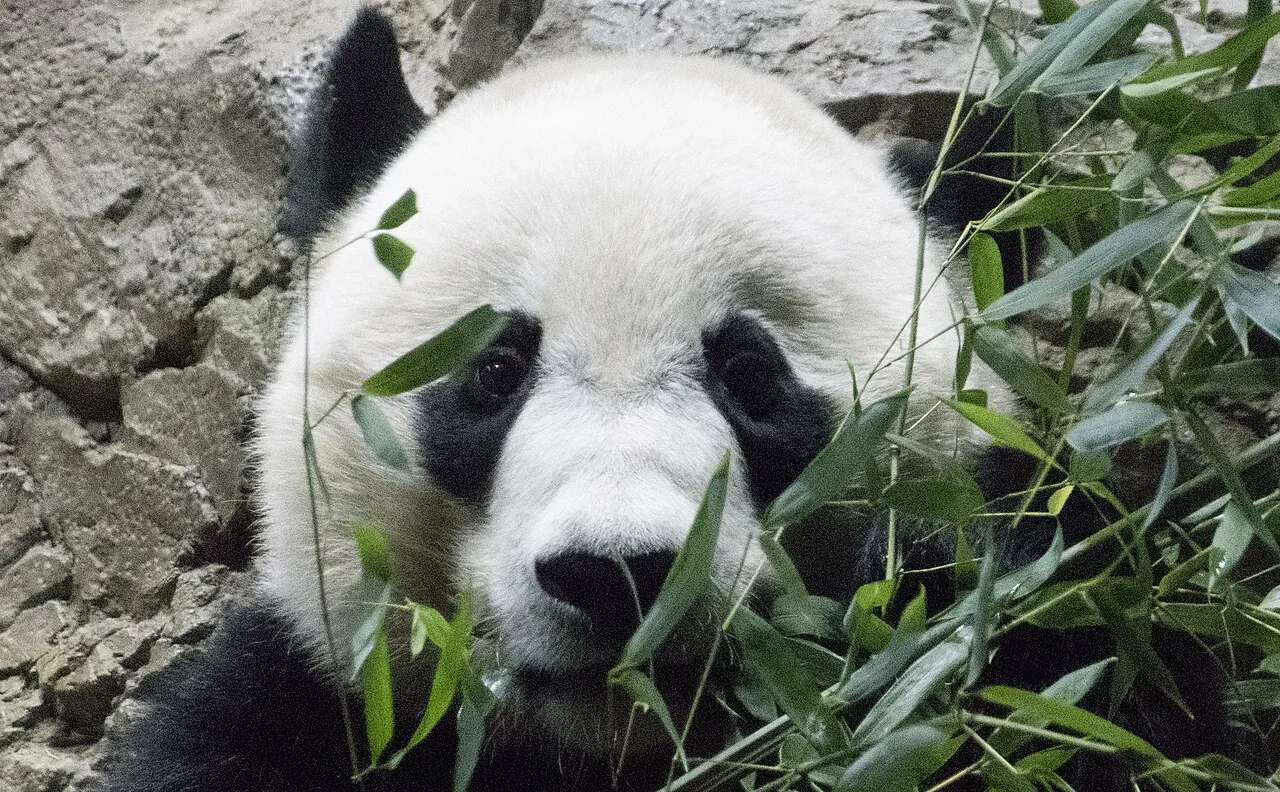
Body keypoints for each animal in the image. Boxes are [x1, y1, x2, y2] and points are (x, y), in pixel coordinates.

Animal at [105, 8, 1245, 792]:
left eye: (749, 378)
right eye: (494, 373)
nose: (616, 574)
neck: (614, 750)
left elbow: (1087, 651)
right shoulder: (319, 706)